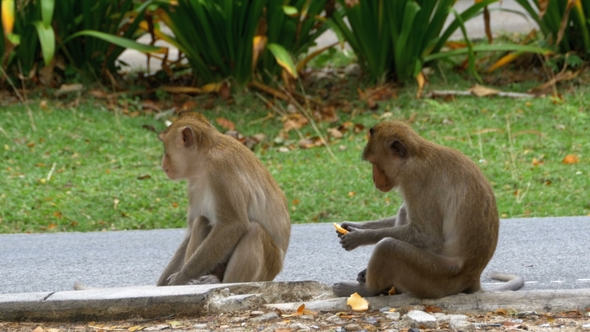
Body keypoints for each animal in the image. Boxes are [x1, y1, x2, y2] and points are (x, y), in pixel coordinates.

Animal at [156, 112, 292, 286]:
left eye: (166, 148)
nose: (162, 163)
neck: (206, 157)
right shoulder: (194, 184)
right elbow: (192, 229)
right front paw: (162, 284)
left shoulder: (220, 170)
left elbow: (233, 225)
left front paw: (181, 277)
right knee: (201, 221)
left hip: (267, 270)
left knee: (255, 231)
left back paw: (224, 283)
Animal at [336, 120, 524, 300]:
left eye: (374, 163)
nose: (374, 179)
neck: (415, 156)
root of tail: (472, 279)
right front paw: (352, 225)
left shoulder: (415, 180)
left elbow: (428, 236)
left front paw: (358, 236)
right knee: (404, 212)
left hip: (436, 276)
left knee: (388, 247)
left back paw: (368, 290)